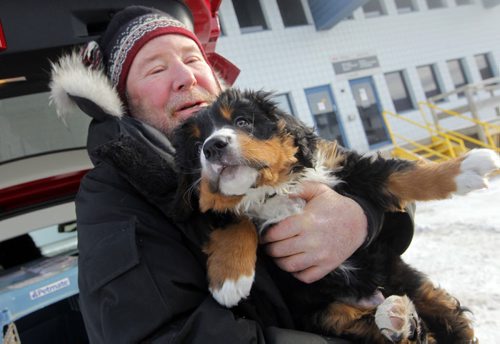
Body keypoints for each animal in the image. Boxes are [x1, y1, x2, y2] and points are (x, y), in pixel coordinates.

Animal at [171, 89, 496, 344]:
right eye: (197, 146)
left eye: (242, 122)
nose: (212, 147)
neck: (274, 189)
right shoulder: (217, 207)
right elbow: (235, 219)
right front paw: (230, 280)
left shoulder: (348, 168)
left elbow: (401, 174)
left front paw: (468, 167)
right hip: (329, 314)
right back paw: (397, 319)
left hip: (412, 284)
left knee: (448, 322)